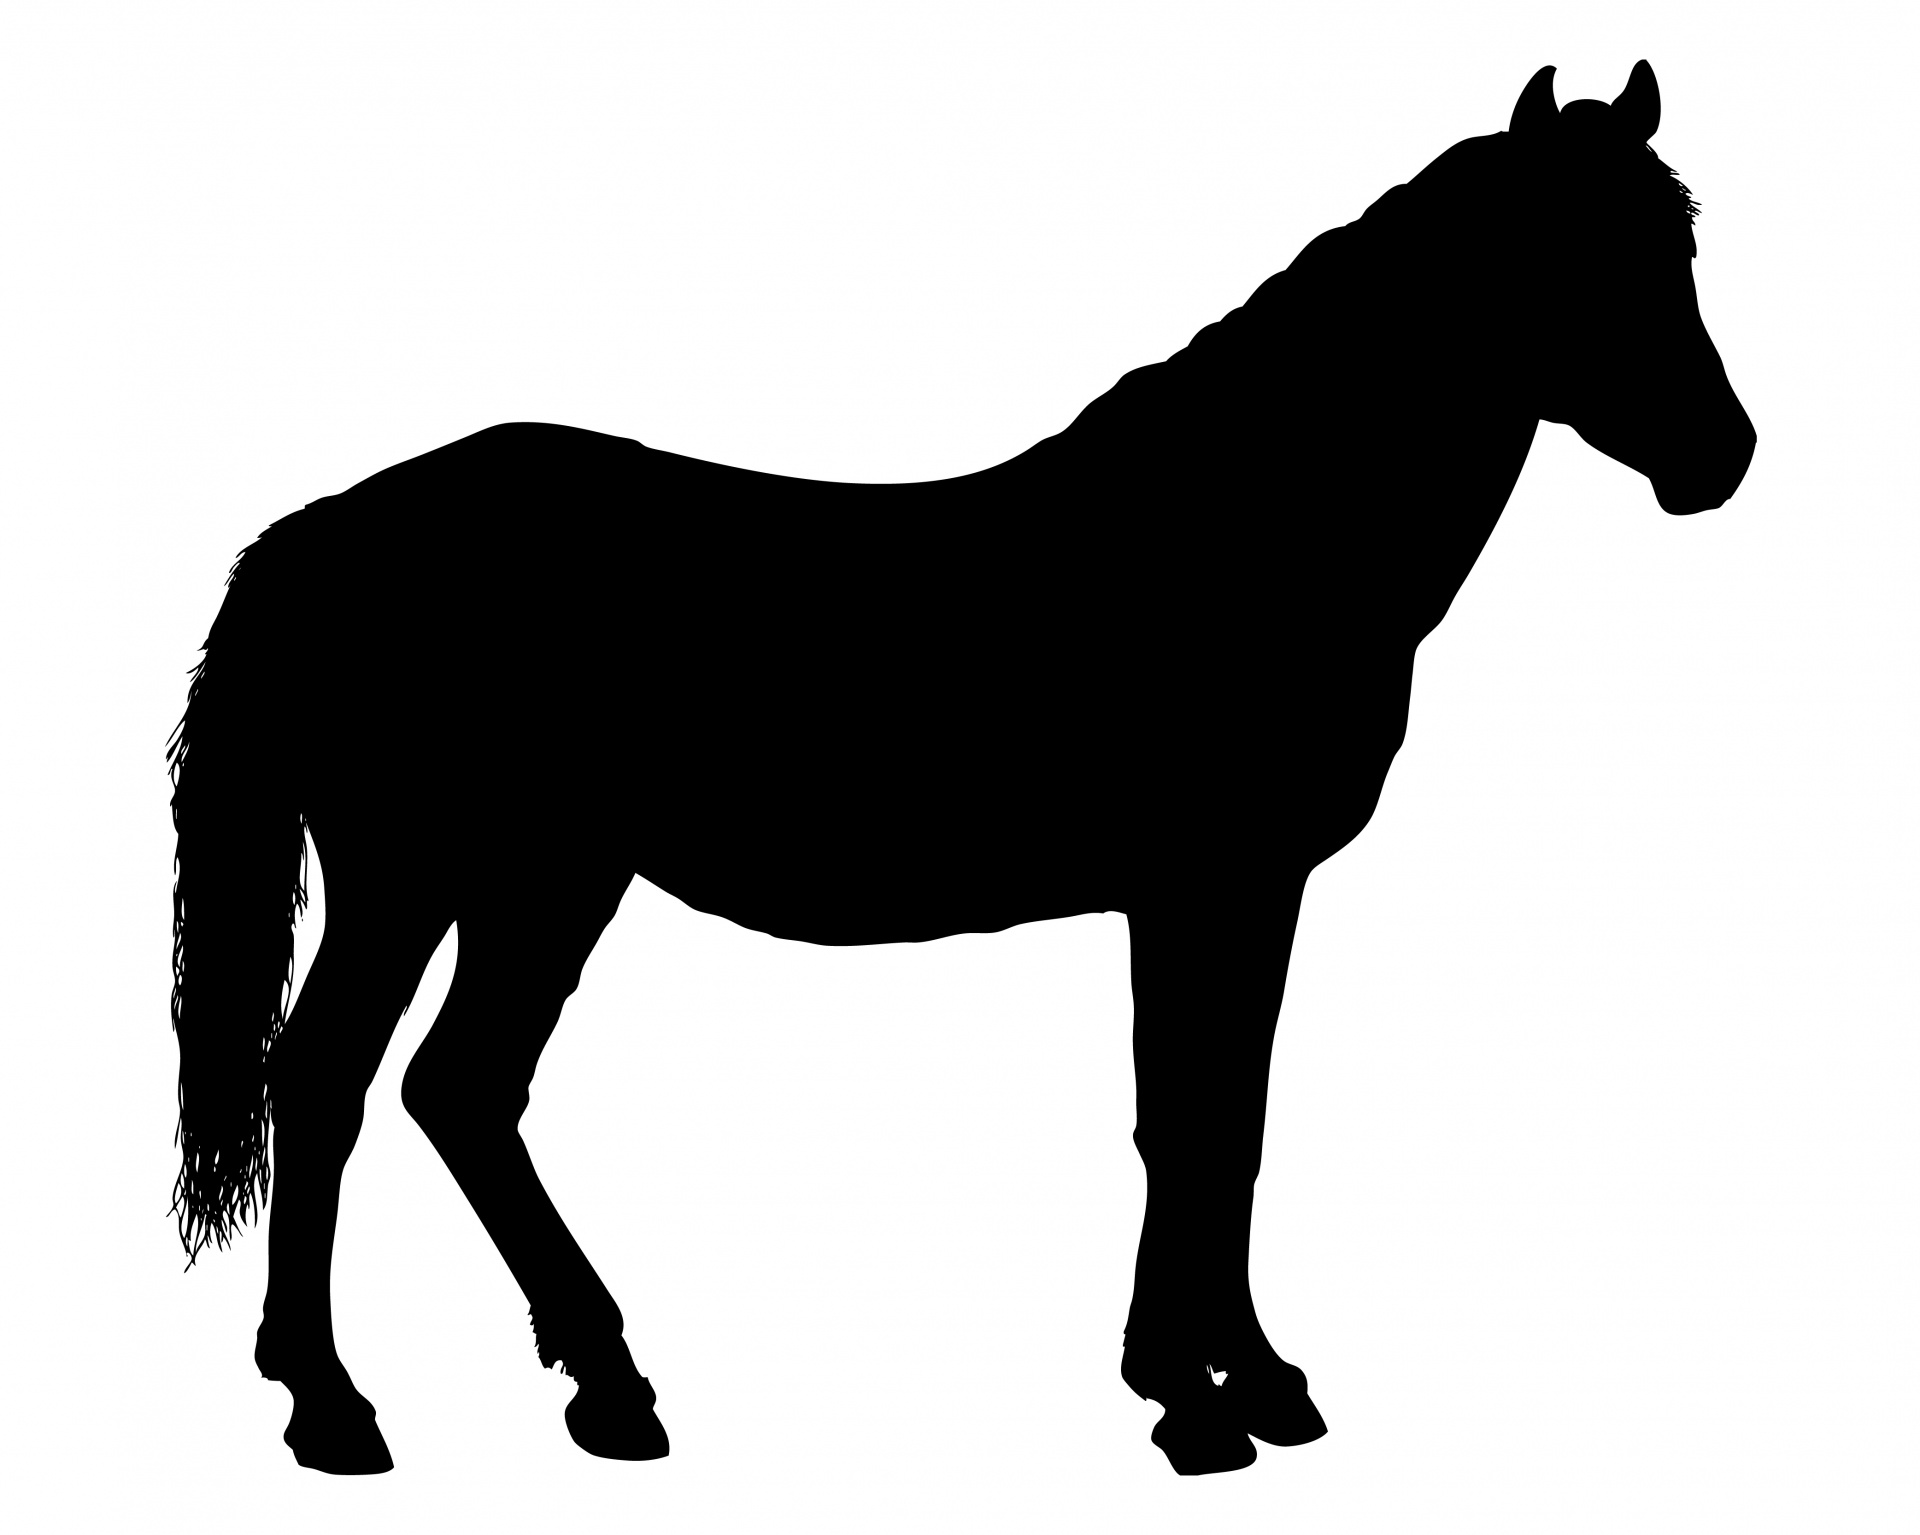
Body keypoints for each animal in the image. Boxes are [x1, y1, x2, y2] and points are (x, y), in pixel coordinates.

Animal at [169, 61, 1755, 1477]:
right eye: (1570, 255)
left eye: (1676, 246)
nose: (1721, 456)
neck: (1245, 531)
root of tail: (324, 532)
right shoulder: (1206, 885)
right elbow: (1189, 1120)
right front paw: (1191, 1400)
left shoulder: (1240, 892)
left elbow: (1223, 1121)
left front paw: (1243, 1377)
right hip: (418, 872)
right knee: (327, 1084)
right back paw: (334, 1407)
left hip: (545, 878)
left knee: (460, 1089)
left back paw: (608, 1386)